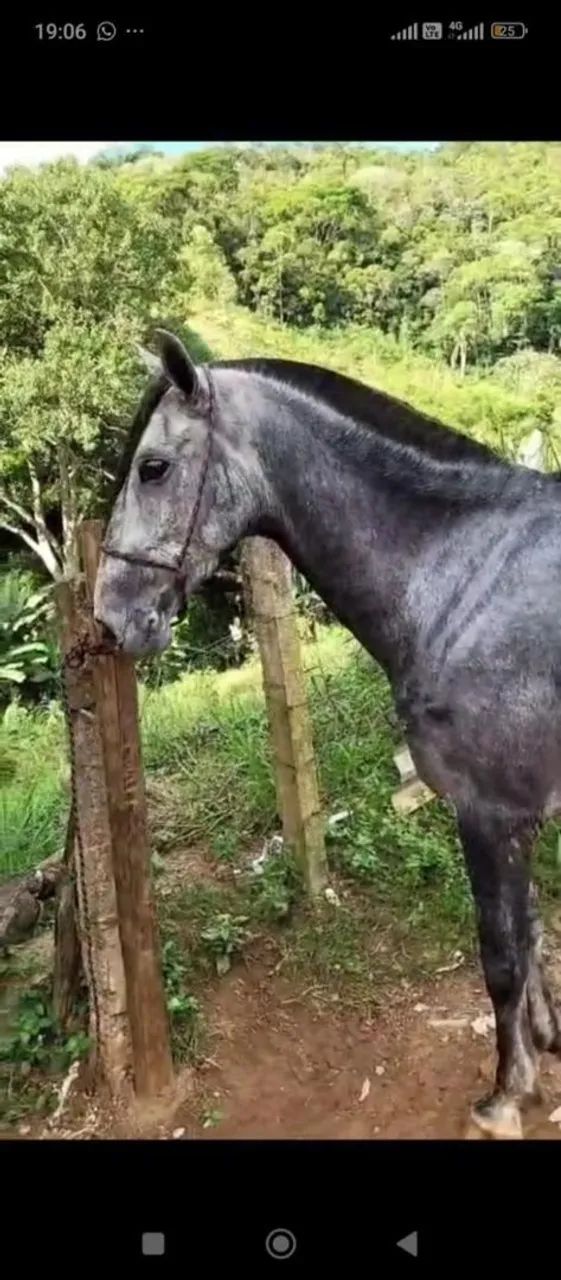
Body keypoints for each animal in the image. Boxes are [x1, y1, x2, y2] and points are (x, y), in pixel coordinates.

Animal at [94, 328, 561, 1139]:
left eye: (153, 468)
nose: (110, 615)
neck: (464, 576)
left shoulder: (490, 813)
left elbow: (502, 955)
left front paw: (504, 1097)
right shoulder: (519, 816)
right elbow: (532, 935)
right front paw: (540, 1047)